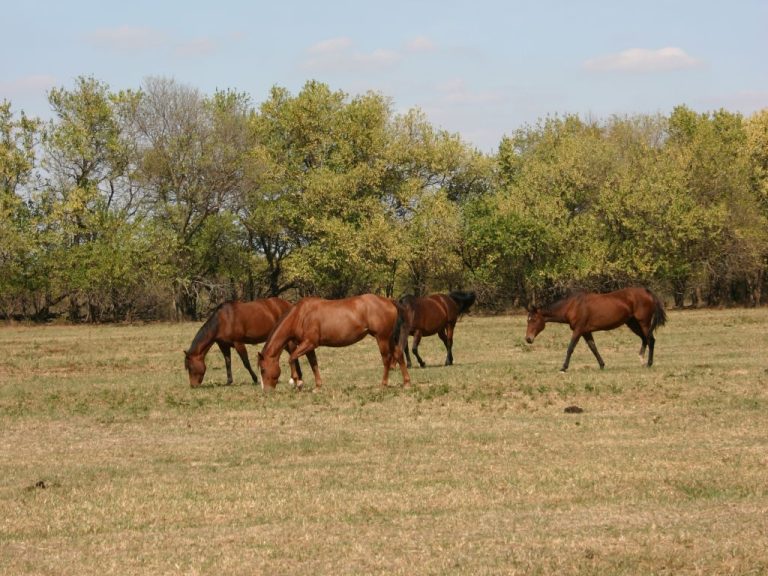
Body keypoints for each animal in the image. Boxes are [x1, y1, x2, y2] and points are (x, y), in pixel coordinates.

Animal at [257, 294, 411, 390]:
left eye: (263, 369)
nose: (266, 391)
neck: (301, 315)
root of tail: (389, 301)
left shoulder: (309, 343)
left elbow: (291, 358)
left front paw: (297, 382)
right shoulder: (309, 346)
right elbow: (313, 364)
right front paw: (318, 386)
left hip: (382, 338)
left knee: (387, 359)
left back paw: (383, 384)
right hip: (389, 338)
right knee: (398, 354)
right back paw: (406, 383)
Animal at [525, 287, 667, 372]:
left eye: (533, 320)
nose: (528, 339)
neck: (572, 306)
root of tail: (647, 292)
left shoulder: (578, 330)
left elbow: (570, 348)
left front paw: (563, 367)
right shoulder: (586, 332)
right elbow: (593, 348)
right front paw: (602, 365)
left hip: (643, 323)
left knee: (650, 340)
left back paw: (649, 363)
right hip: (632, 323)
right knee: (645, 339)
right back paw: (642, 360)